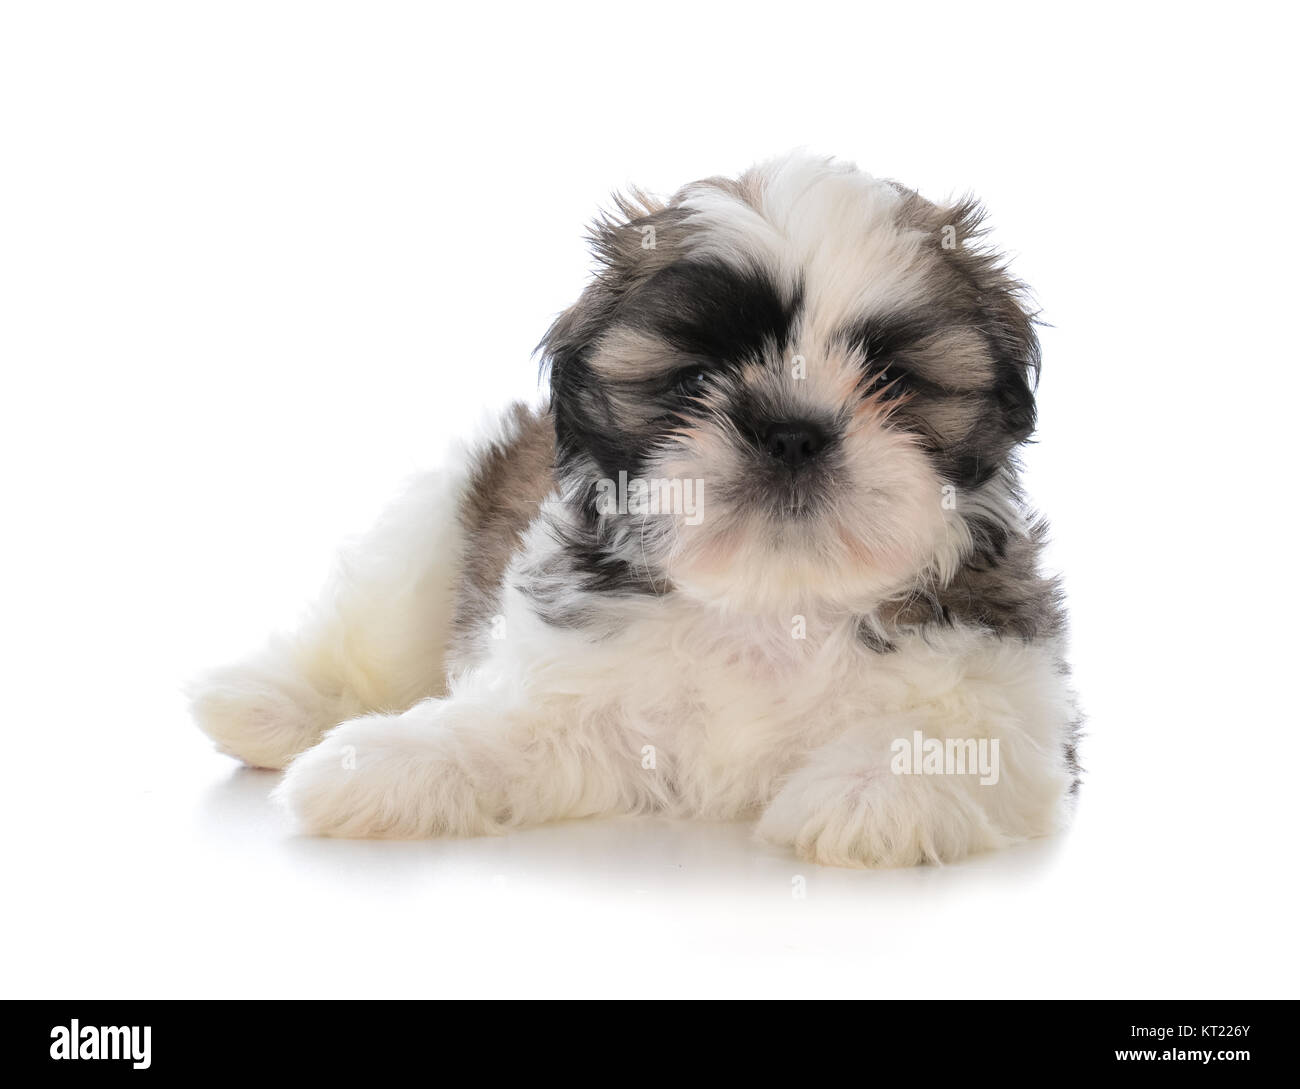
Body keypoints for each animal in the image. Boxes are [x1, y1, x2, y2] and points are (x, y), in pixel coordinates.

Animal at [189, 153, 1076, 868]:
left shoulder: (1021, 698)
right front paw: (380, 760)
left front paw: (866, 790)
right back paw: (266, 705)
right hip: (432, 528)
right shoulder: (576, 677)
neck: (771, 602)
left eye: (891, 381)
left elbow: (958, 737)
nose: (792, 430)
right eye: (696, 380)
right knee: (365, 635)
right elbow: (499, 729)